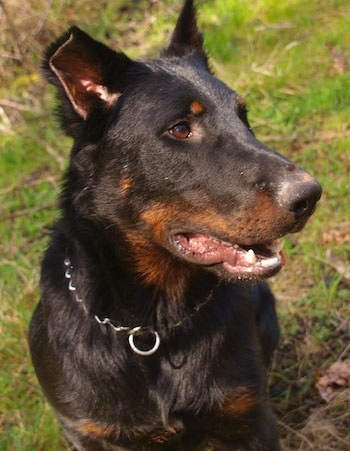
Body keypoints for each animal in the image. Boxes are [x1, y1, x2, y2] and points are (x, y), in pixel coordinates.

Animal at [28, 1, 322, 450]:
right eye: (181, 128)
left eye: (244, 117)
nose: (309, 195)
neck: (151, 328)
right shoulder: (88, 431)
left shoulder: (249, 417)